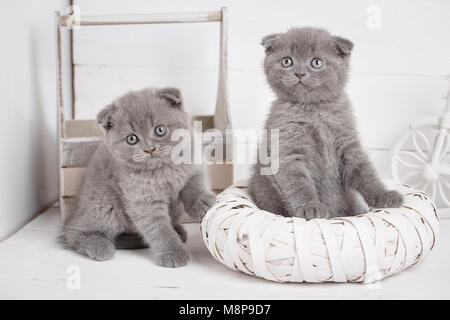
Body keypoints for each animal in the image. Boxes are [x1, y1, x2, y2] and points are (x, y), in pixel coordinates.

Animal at [59, 87, 216, 268]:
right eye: (132, 139)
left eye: (160, 130)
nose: (149, 149)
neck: (163, 169)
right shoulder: (143, 201)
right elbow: (160, 229)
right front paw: (173, 253)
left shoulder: (194, 164)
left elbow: (194, 184)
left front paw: (202, 202)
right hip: (104, 204)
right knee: (75, 232)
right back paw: (99, 245)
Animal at [250, 27, 404, 220]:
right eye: (287, 61)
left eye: (317, 63)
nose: (299, 73)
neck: (314, 111)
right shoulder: (287, 149)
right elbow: (298, 183)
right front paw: (310, 207)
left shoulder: (348, 145)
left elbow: (365, 172)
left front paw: (384, 195)